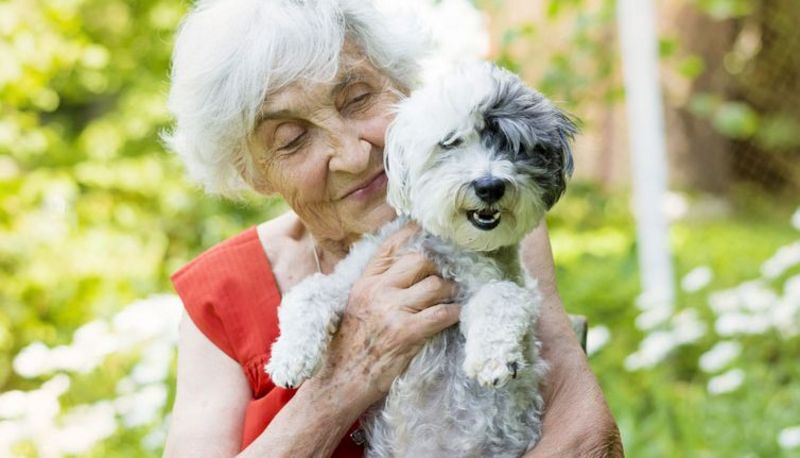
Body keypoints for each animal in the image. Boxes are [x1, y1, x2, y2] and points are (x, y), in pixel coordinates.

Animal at [268, 61, 576, 458]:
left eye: (513, 144)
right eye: (451, 142)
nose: (489, 186)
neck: (443, 245)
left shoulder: (504, 283)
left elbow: (501, 298)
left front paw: (492, 359)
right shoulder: (354, 276)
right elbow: (309, 294)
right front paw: (289, 358)